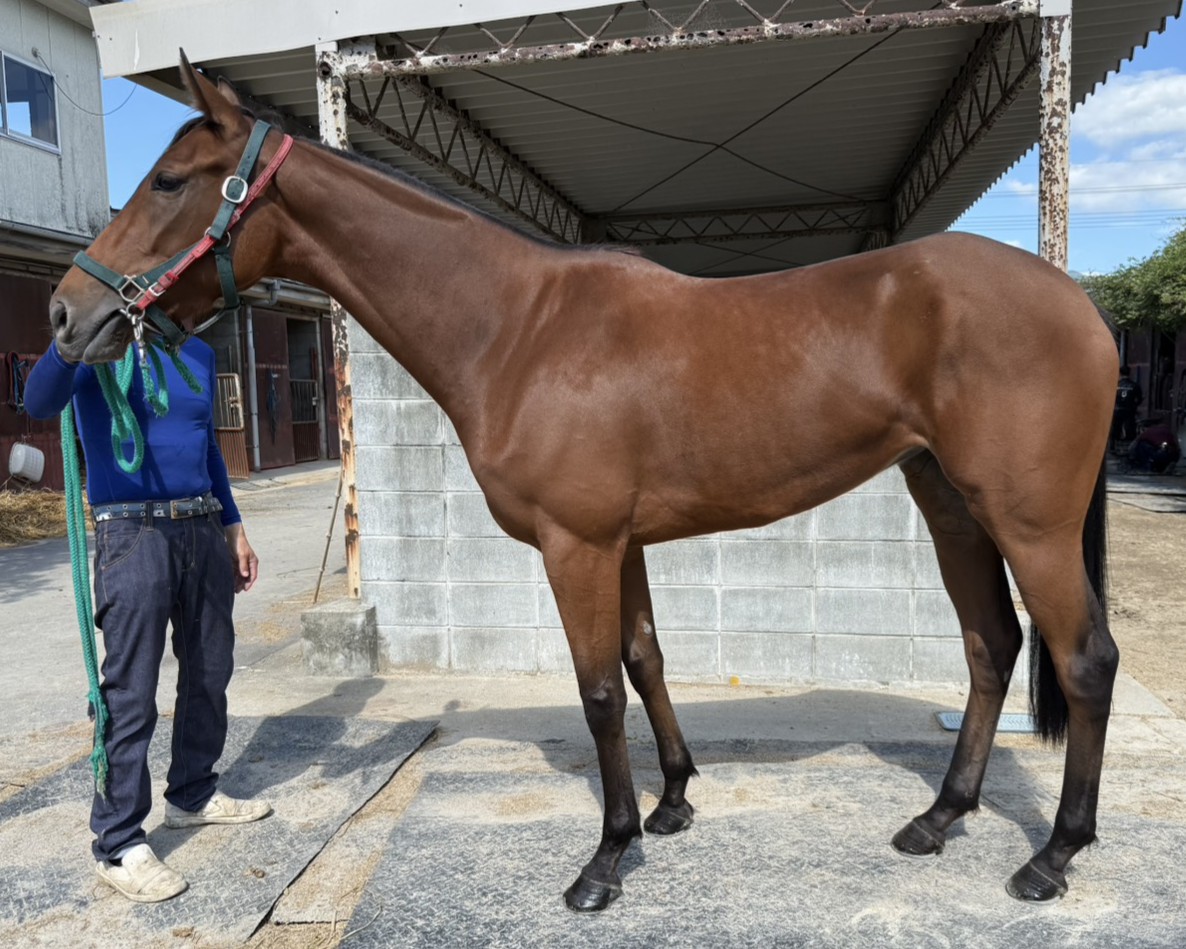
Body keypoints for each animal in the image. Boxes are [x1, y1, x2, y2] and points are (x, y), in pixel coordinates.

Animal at [50, 56, 1119, 912]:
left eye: (169, 181)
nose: (67, 316)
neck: (517, 327)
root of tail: (1080, 304)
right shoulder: (624, 541)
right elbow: (646, 661)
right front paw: (673, 800)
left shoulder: (579, 544)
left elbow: (600, 687)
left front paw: (606, 858)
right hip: (950, 505)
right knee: (991, 646)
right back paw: (940, 816)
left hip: (1028, 522)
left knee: (1082, 659)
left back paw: (1054, 856)